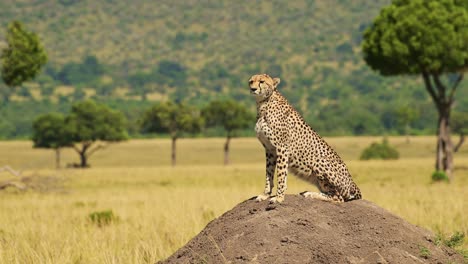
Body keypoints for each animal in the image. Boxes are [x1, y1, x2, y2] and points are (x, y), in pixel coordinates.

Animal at [249, 74, 362, 204]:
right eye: (251, 81)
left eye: (262, 81)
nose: (253, 89)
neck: (263, 103)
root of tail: (352, 181)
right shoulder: (269, 150)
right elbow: (269, 173)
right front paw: (265, 194)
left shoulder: (282, 148)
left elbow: (281, 175)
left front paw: (279, 197)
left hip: (319, 162)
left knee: (338, 198)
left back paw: (311, 194)